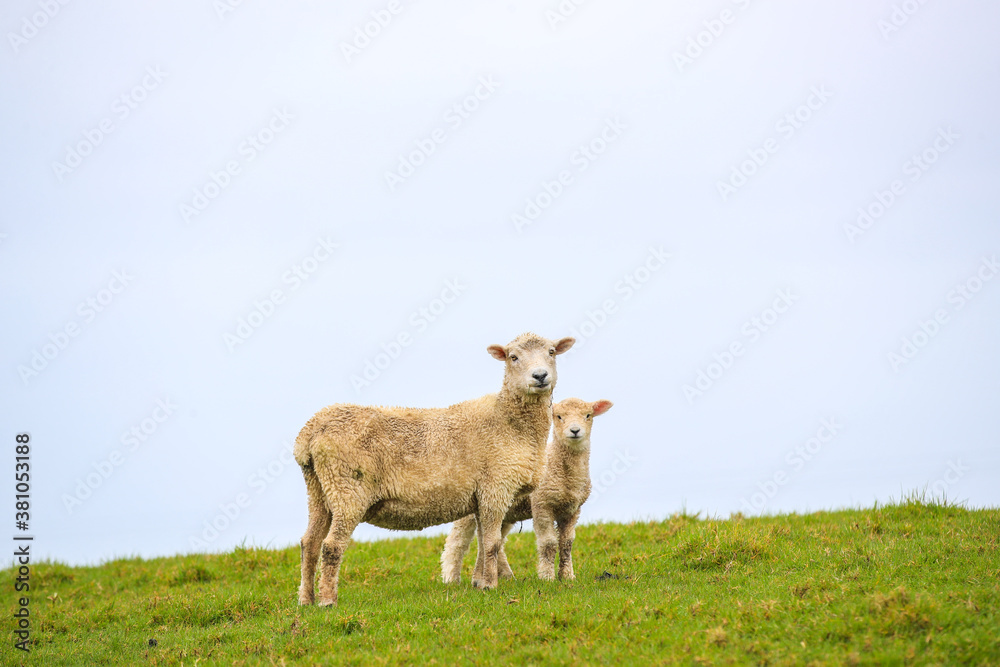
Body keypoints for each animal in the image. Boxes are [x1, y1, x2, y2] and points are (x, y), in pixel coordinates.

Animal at [294, 332, 575, 606]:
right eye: (513, 357)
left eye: (551, 352)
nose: (540, 376)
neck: (510, 422)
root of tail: (310, 431)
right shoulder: (496, 488)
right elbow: (493, 544)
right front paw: (491, 585)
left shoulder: (482, 497)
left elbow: (482, 543)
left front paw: (480, 583)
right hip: (347, 488)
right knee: (331, 545)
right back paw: (327, 600)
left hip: (318, 490)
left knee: (310, 543)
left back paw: (306, 600)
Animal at [440, 397, 613, 584]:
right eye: (559, 416)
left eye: (588, 415)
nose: (575, 431)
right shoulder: (542, 503)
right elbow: (548, 543)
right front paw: (547, 577)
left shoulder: (573, 509)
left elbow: (567, 543)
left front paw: (567, 576)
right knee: (457, 541)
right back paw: (451, 577)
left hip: (505, 511)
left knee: (497, 541)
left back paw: (506, 575)